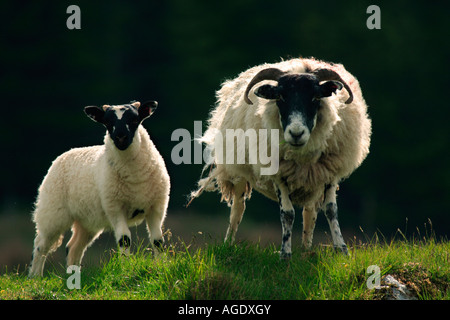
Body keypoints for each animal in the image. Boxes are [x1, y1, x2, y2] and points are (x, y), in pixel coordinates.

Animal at [29, 101, 171, 276]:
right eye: (108, 123)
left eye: (134, 119)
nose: (121, 137)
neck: (135, 179)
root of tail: (65, 154)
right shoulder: (115, 208)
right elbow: (124, 239)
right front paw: (126, 268)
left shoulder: (156, 207)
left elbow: (158, 241)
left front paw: (162, 266)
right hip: (53, 212)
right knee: (40, 245)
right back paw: (35, 277)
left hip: (87, 221)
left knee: (73, 247)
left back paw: (73, 275)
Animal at [190, 57, 370, 258]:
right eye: (280, 97)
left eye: (315, 97)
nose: (296, 133)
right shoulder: (278, 174)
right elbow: (287, 213)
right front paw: (285, 253)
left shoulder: (331, 172)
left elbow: (331, 210)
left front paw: (342, 249)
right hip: (238, 170)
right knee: (238, 208)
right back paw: (228, 244)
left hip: (314, 179)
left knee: (310, 212)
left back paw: (306, 248)